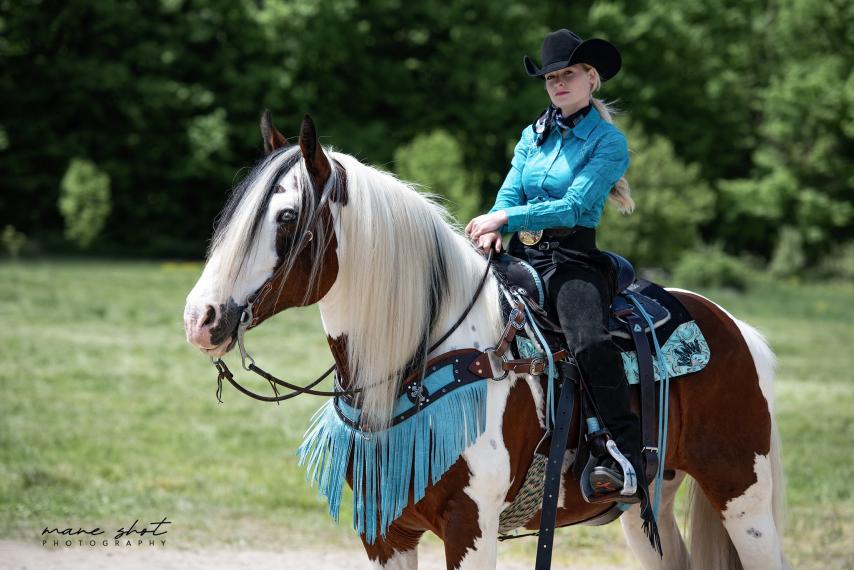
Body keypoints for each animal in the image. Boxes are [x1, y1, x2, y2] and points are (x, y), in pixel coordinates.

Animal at [183, 112, 790, 570]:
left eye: (287, 216)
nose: (200, 317)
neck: (419, 361)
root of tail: (737, 330)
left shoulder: (470, 526)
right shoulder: (384, 533)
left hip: (744, 497)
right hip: (650, 508)